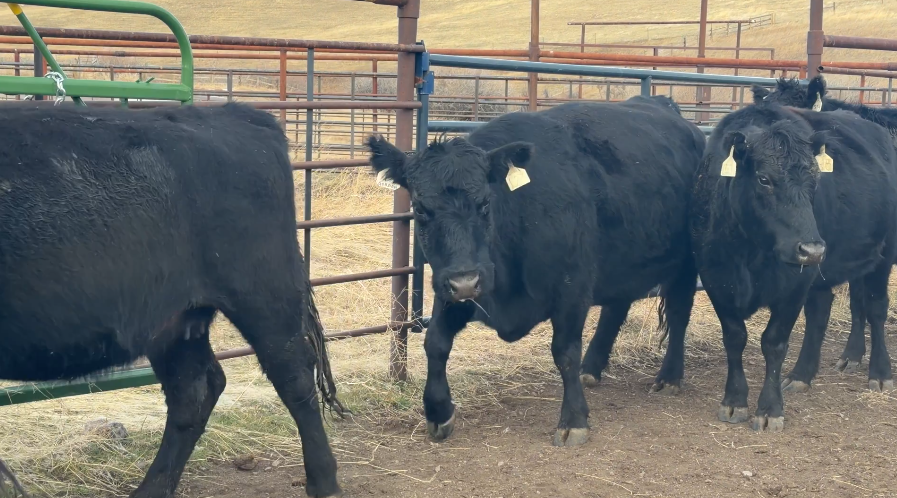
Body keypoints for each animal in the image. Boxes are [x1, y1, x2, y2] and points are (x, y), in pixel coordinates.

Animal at [0, 103, 343, 498]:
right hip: (178, 320)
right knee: (194, 392)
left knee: (295, 378)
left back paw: (323, 482)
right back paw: (150, 489)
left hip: (264, 298)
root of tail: (239, 114)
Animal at [367, 95, 705, 447]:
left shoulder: (572, 287)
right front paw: (438, 411)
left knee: (678, 315)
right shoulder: (452, 287)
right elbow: (435, 342)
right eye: (421, 209)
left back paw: (669, 376)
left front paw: (573, 419)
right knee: (616, 308)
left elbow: (564, 352)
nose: (466, 283)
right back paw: (592, 368)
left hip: (687, 263)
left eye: (485, 203)